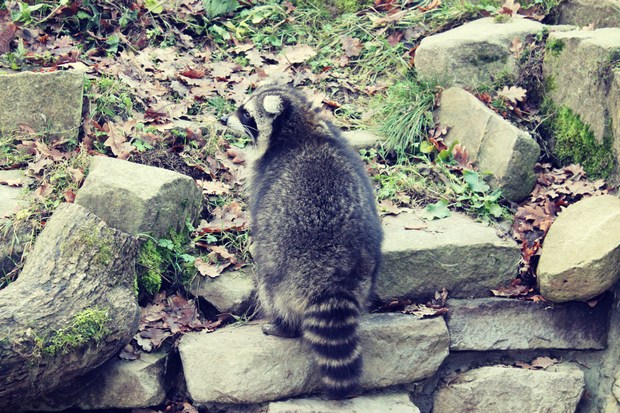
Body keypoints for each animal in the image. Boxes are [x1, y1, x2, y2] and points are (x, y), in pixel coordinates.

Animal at [226, 85, 382, 398]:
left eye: (246, 113)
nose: (225, 120)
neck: (302, 126)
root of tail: (332, 277)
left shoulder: (265, 175)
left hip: (281, 268)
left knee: (268, 284)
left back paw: (282, 325)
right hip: (365, 270)